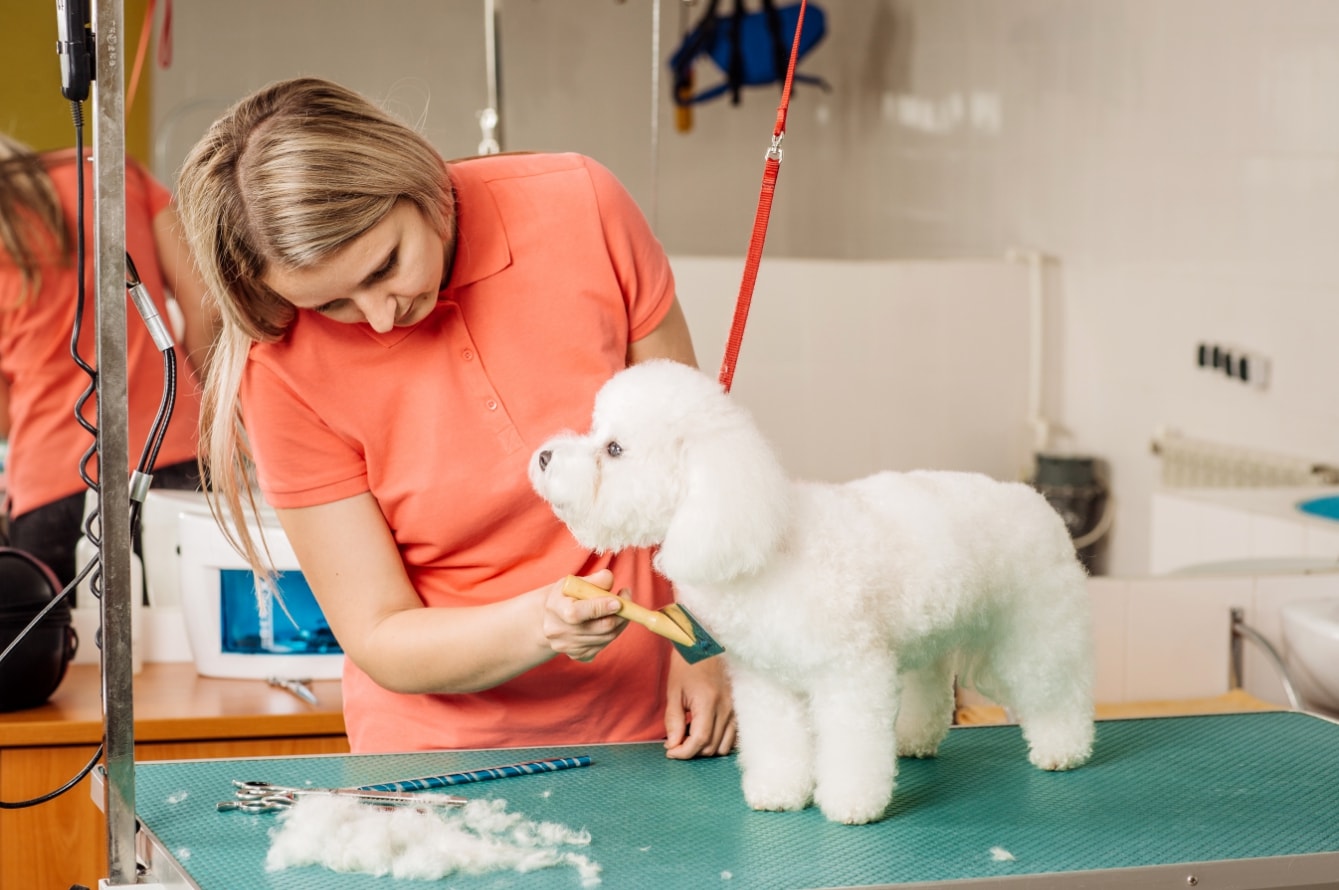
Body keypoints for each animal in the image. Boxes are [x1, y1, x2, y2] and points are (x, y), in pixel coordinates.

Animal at [527, 358, 1092, 824]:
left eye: (614, 449)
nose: (544, 456)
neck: (764, 543)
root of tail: (1036, 500)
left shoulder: (851, 673)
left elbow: (851, 747)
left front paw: (851, 804)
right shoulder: (768, 682)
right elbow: (779, 743)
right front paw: (779, 792)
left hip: (1032, 631)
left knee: (1058, 692)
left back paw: (1063, 748)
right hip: (929, 639)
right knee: (930, 689)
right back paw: (914, 739)